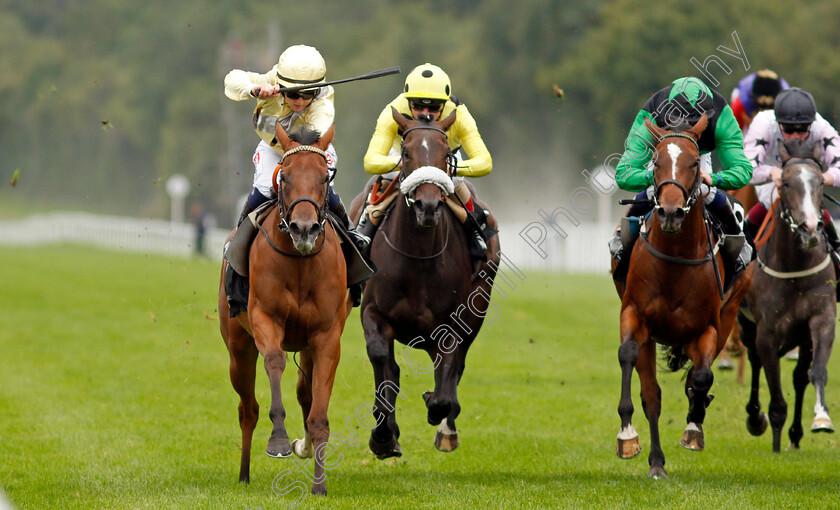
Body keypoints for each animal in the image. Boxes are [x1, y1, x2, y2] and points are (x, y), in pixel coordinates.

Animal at [218, 122, 350, 494]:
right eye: (285, 177)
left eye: (325, 177)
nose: (304, 228)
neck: (300, 264)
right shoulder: (265, 318)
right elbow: (275, 360)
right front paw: (279, 440)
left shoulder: (326, 336)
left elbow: (318, 412)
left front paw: (319, 484)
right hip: (238, 348)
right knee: (247, 408)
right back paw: (244, 473)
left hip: (305, 346)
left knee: (305, 392)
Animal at [348, 107, 498, 458]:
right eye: (405, 152)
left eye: (446, 155)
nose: (427, 206)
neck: (418, 258)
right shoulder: (374, 313)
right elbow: (383, 363)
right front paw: (383, 435)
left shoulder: (452, 323)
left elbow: (445, 383)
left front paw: (436, 406)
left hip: (477, 309)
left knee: (456, 366)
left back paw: (447, 428)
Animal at [612, 115, 752, 478]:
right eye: (655, 161)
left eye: (693, 163)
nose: (671, 212)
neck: (675, 259)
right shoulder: (634, 314)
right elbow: (629, 357)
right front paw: (627, 435)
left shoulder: (708, 328)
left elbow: (701, 376)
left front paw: (693, 426)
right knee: (652, 395)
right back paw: (656, 463)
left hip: (729, 314)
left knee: (698, 376)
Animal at [740, 137, 832, 452]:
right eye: (787, 183)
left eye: (820, 182)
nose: (810, 229)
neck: (794, 266)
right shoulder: (767, 331)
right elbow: (776, 394)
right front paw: (776, 443)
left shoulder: (821, 318)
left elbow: (815, 372)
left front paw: (821, 418)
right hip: (746, 325)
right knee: (754, 360)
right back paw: (757, 419)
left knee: (799, 376)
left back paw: (795, 434)